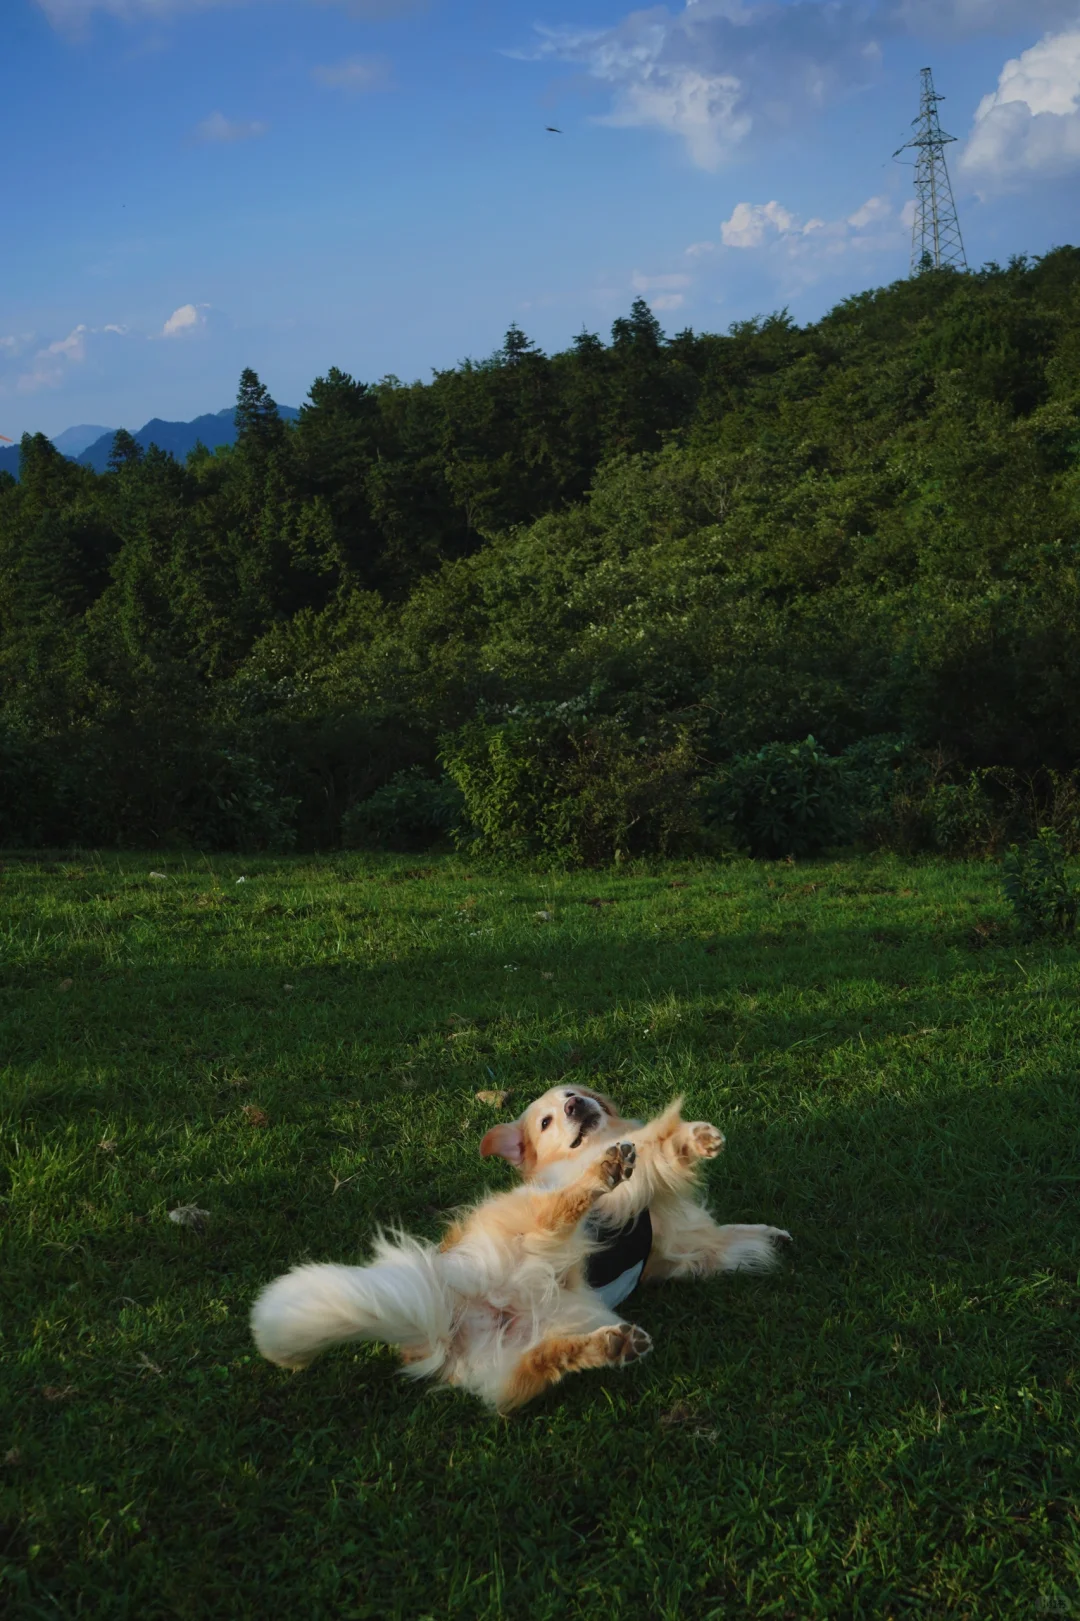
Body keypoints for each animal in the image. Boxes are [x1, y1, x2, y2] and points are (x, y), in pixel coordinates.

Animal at [251, 1091, 788, 1412]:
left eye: (581, 1092)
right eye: (546, 1120)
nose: (575, 1104)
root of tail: (449, 1318)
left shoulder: (674, 1251)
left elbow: (721, 1241)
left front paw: (766, 1238)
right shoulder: (623, 1199)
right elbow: (654, 1146)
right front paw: (691, 1138)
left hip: (522, 1352)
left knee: (545, 1362)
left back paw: (610, 1346)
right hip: (530, 1226)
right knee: (560, 1210)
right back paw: (604, 1172)